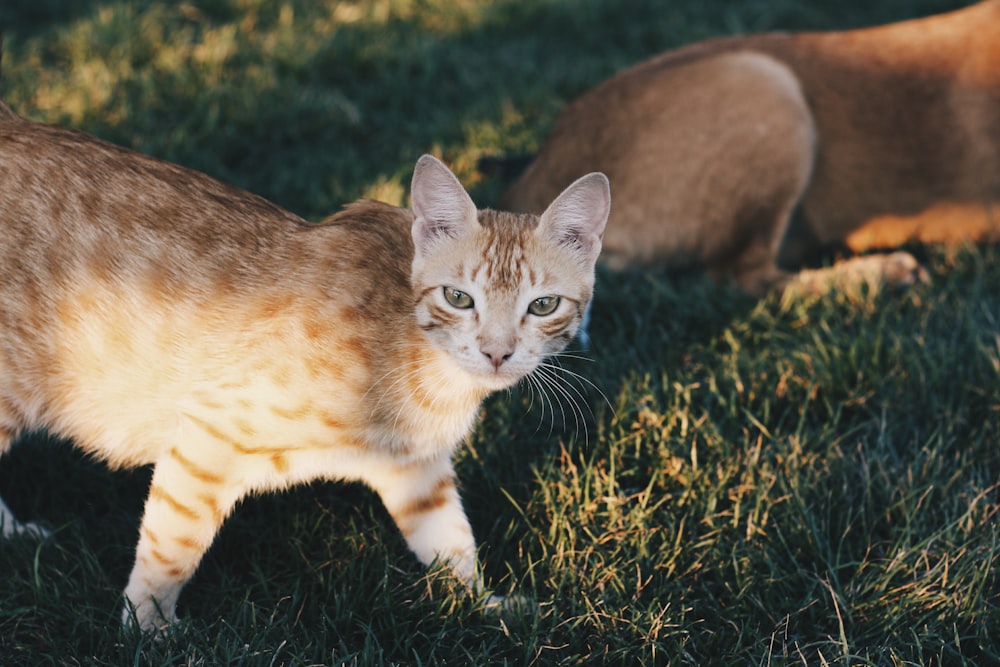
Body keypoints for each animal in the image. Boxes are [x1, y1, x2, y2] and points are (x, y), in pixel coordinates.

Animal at [0, 96, 608, 636]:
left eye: (542, 305)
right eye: (459, 298)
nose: (496, 351)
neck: (424, 367)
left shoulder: (415, 469)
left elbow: (452, 541)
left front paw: (484, 604)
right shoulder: (208, 436)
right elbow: (170, 549)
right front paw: (148, 628)